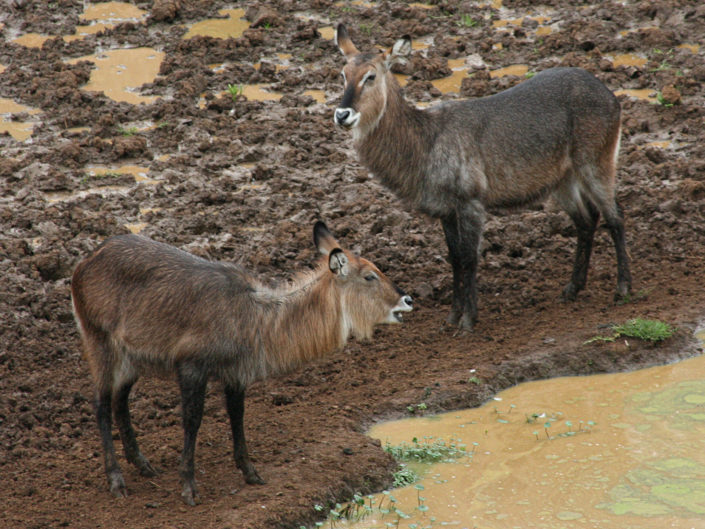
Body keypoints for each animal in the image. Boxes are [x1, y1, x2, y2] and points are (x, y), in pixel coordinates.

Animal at [70, 222, 412, 504]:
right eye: (369, 275)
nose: (407, 300)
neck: (254, 316)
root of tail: (84, 263)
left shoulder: (235, 374)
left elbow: (238, 417)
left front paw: (251, 473)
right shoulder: (191, 367)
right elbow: (192, 420)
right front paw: (189, 487)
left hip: (132, 358)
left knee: (120, 401)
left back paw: (142, 465)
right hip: (100, 344)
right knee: (100, 404)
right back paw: (116, 480)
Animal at [332, 25, 628, 330]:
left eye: (370, 76)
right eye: (342, 74)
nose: (342, 114)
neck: (425, 142)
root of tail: (609, 94)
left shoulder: (471, 202)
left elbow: (470, 258)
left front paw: (467, 320)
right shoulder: (446, 210)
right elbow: (454, 258)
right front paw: (451, 317)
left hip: (597, 162)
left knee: (615, 216)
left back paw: (623, 289)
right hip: (562, 180)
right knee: (587, 219)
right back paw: (572, 288)